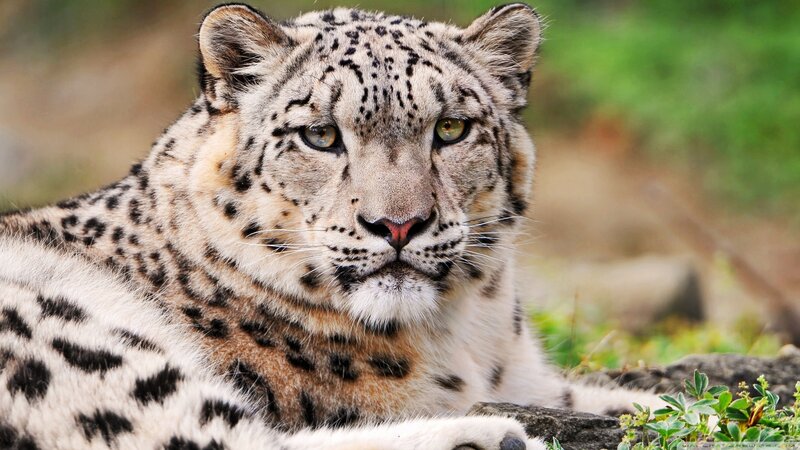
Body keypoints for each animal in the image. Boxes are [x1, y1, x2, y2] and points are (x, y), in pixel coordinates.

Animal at [0, 3, 663, 449]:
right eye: (320, 134)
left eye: (451, 128)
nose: (398, 225)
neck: (470, 335)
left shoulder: (530, 376)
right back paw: (489, 435)